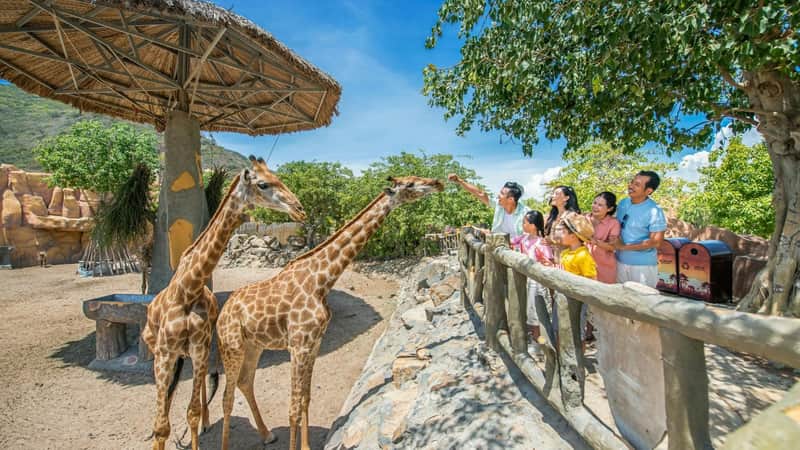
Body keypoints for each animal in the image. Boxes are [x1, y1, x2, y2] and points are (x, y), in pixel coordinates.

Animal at [140, 156, 306, 450]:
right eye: (263, 184)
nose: (299, 209)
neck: (188, 288)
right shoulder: (164, 352)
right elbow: (161, 425)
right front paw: (158, 433)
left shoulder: (198, 347)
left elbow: (191, 412)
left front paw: (198, 425)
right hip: (161, 350)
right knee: (169, 394)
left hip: (200, 351)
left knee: (203, 390)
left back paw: (210, 423)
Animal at [216, 176, 444, 450]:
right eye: (410, 184)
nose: (438, 182)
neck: (321, 281)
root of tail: (222, 312)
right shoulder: (298, 345)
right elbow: (293, 408)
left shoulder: (314, 343)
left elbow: (305, 398)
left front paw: (305, 447)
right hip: (232, 346)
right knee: (227, 397)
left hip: (254, 345)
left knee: (245, 381)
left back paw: (267, 434)